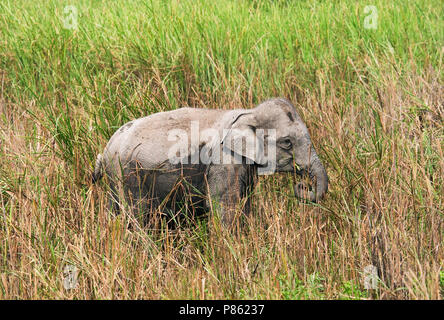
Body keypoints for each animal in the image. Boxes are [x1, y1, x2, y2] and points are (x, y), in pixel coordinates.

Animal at [92, 97, 328, 228]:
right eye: (287, 142)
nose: (302, 185)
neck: (248, 112)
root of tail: (105, 150)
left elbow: (244, 204)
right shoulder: (222, 161)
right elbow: (224, 207)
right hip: (128, 177)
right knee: (136, 219)